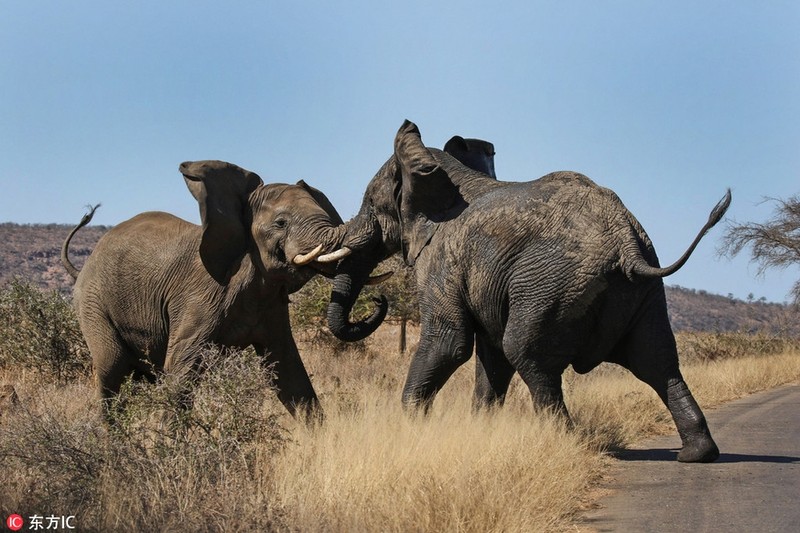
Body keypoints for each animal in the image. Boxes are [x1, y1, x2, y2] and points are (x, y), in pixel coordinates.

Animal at [64, 158, 358, 420]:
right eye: (280, 223)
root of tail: (83, 267)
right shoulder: (200, 299)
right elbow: (181, 370)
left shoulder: (271, 302)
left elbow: (288, 370)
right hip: (92, 304)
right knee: (111, 368)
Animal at [326, 120, 732, 462]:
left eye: (371, 206)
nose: (378, 300)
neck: (438, 168)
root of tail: (625, 239)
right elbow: (491, 359)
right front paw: (481, 432)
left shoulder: (442, 259)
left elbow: (450, 343)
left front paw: (412, 428)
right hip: (640, 292)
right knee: (656, 360)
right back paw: (697, 454)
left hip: (552, 285)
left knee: (527, 353)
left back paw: (567, 444)